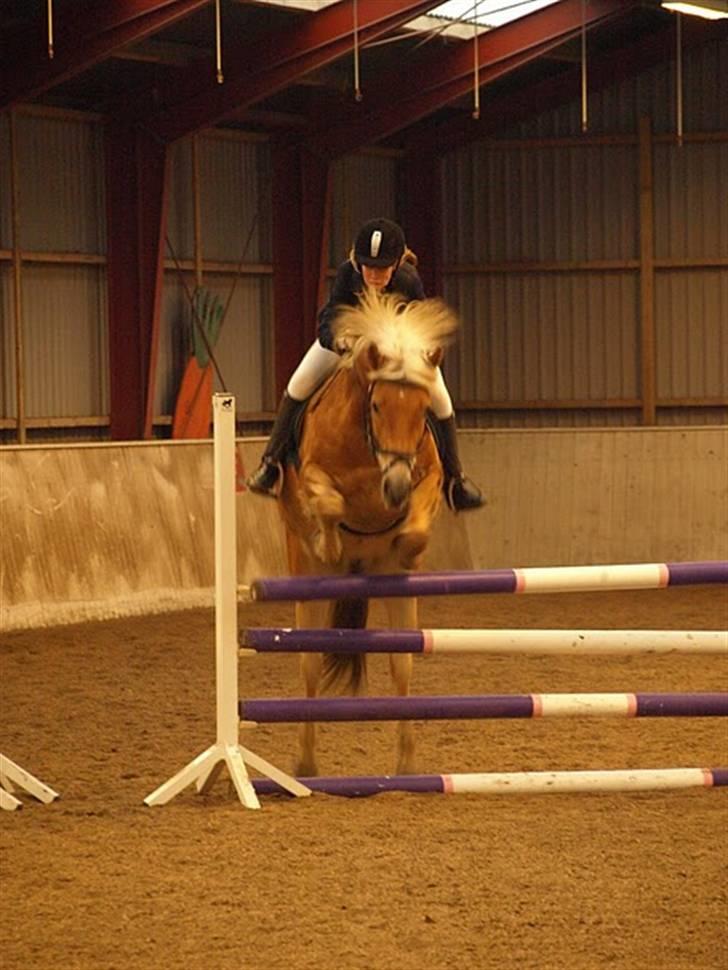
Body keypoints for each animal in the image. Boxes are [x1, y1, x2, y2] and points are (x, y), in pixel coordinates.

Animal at [278, 286, 456, 772]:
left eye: (423, 409)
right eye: (377, 404)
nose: (394, 487)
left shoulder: (427, 478)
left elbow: (416, 526)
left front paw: (407, 543)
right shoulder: (314, 474)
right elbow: (329, 502)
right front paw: (331, 542)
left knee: (402, 665)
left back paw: (407, 768)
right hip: (303, 579)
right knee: (309, 666)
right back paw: (305, 767)